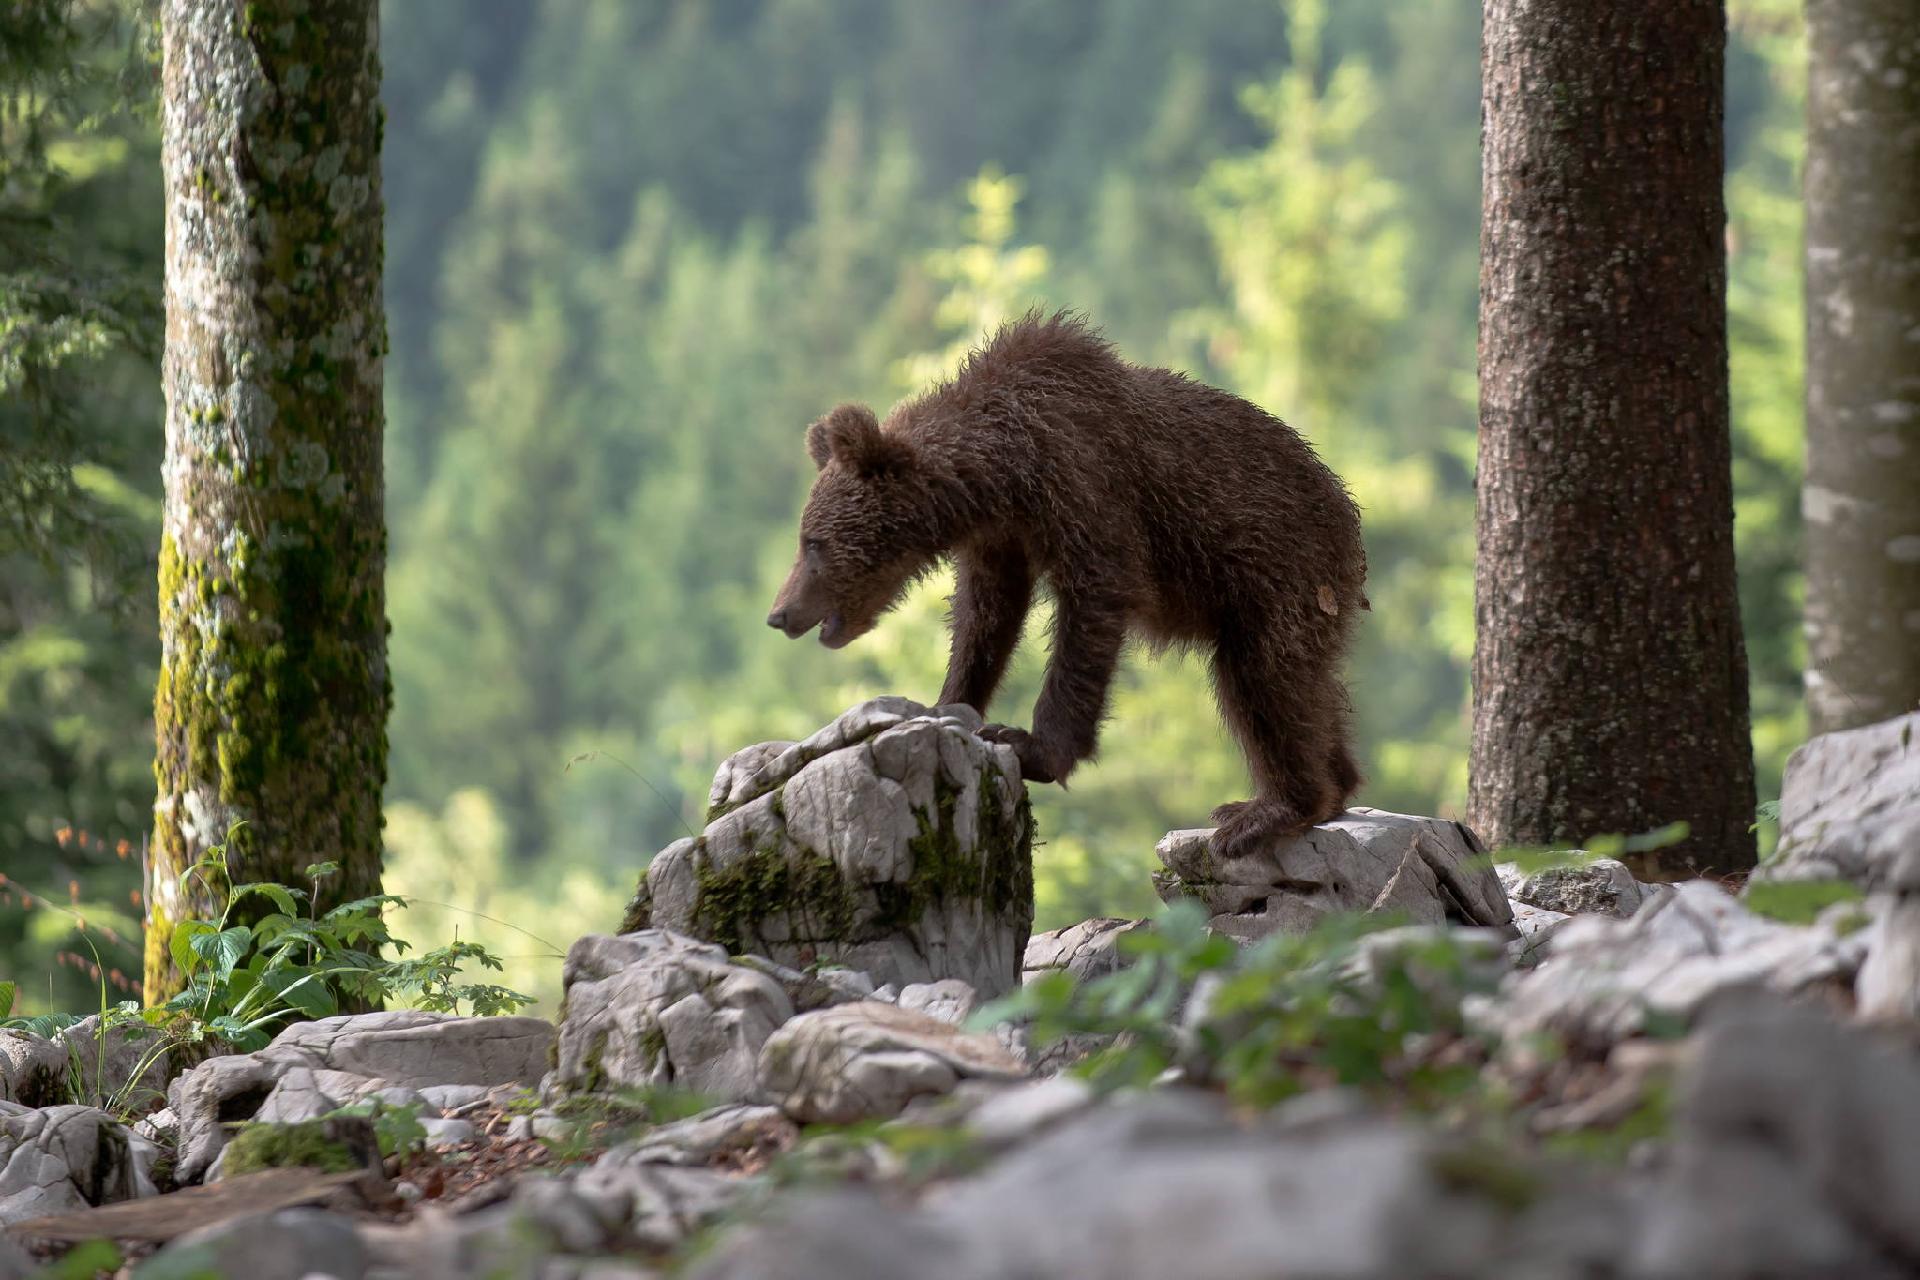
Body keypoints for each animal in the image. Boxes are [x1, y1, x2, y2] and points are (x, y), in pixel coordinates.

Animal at [767, 310, 1368, 857]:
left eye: (813, 542)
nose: (780, 614)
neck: (1002, 472)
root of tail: (1348, 521)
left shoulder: (1084, 487)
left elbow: (1090, 612)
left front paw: (1031, 745)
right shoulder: (1001, 540)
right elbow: (985, 618)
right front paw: (947, 703)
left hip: (1277, 573)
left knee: (1262, 682)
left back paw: (1266, 811)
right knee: (1305, 686)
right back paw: (1337, 785)